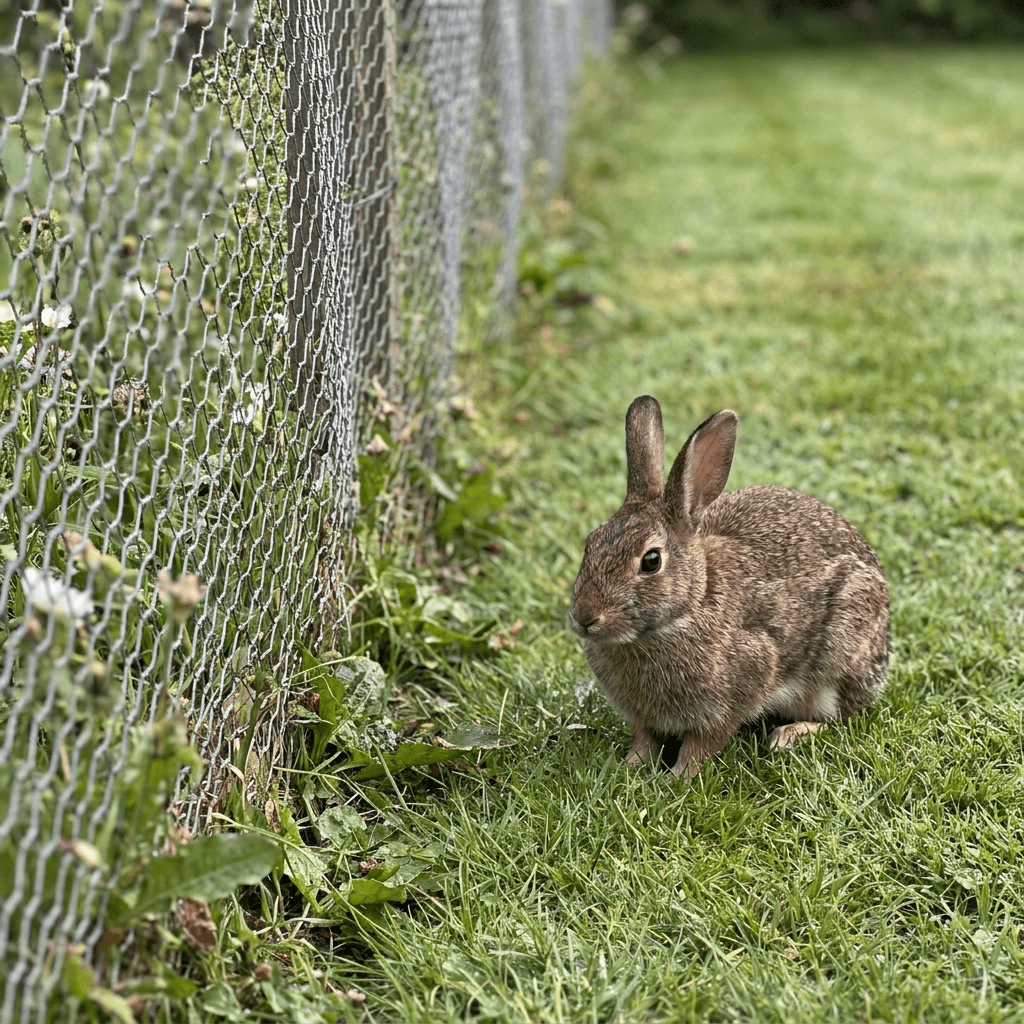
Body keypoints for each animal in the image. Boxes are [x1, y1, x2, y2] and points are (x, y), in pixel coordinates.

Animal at [568, 396, 890, 780]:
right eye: (590, 543)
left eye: (651, 561)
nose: (584, 617)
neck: (689, 607)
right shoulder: (644, 718)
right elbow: (646, 740)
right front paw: (628, 767)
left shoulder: (740, 686)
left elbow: (702, 744)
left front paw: (677, 778)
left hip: (840, 650)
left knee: (842, 715)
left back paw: (789, 735)